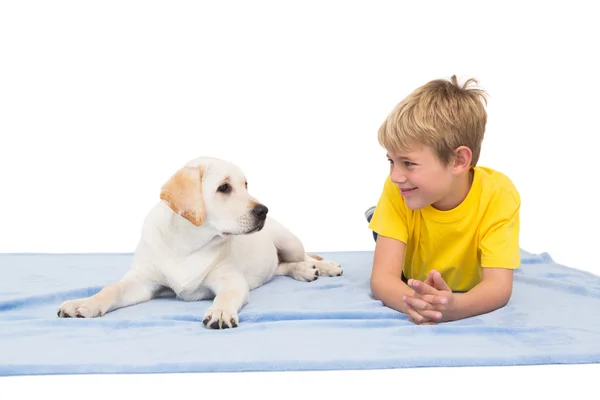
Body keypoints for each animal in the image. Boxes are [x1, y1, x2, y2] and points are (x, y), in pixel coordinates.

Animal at [59, 156, 346, 328]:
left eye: (246, 185)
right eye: (224, 188)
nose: (264, 210)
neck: (187, 243)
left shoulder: (231, 280)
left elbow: (226, 295)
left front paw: (220, 312)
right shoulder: (142, 281)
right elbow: (111, 288)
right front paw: (84, 304)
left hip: (289, 240)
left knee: (302, 256)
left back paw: (322, 267)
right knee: (280, 266)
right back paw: (305, 270)